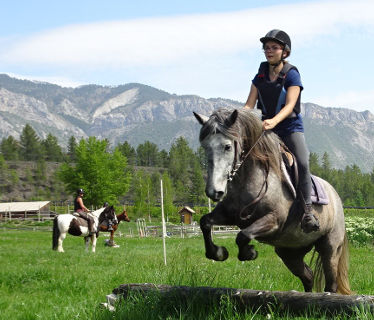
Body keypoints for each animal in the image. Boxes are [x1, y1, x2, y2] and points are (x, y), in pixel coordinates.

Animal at [194, 109, 350, 294]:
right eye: (205, 147)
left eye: (227, 147)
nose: (214, 191)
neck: (247, 179)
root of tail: (336, 196)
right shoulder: (230, 215)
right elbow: (205, 222)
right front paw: (218, 253)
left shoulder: (274, 220)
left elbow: (243, 235)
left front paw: (249, 253)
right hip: (290, 251)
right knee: (308, 276)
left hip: (330, 248)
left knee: (330, 283)